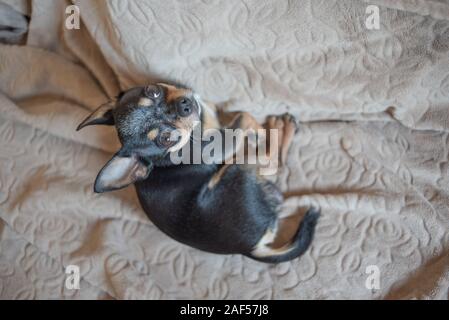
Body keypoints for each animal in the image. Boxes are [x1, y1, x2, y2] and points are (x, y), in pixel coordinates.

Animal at [77, 83, 316, 262]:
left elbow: (224, 113)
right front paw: (258, 129)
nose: (183, 106)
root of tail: (249, 249)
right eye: (165, 138)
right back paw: (282, 127)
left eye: (152, 91)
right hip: (236, 167)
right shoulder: (219, 146)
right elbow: (244, 117)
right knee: (274, 162)